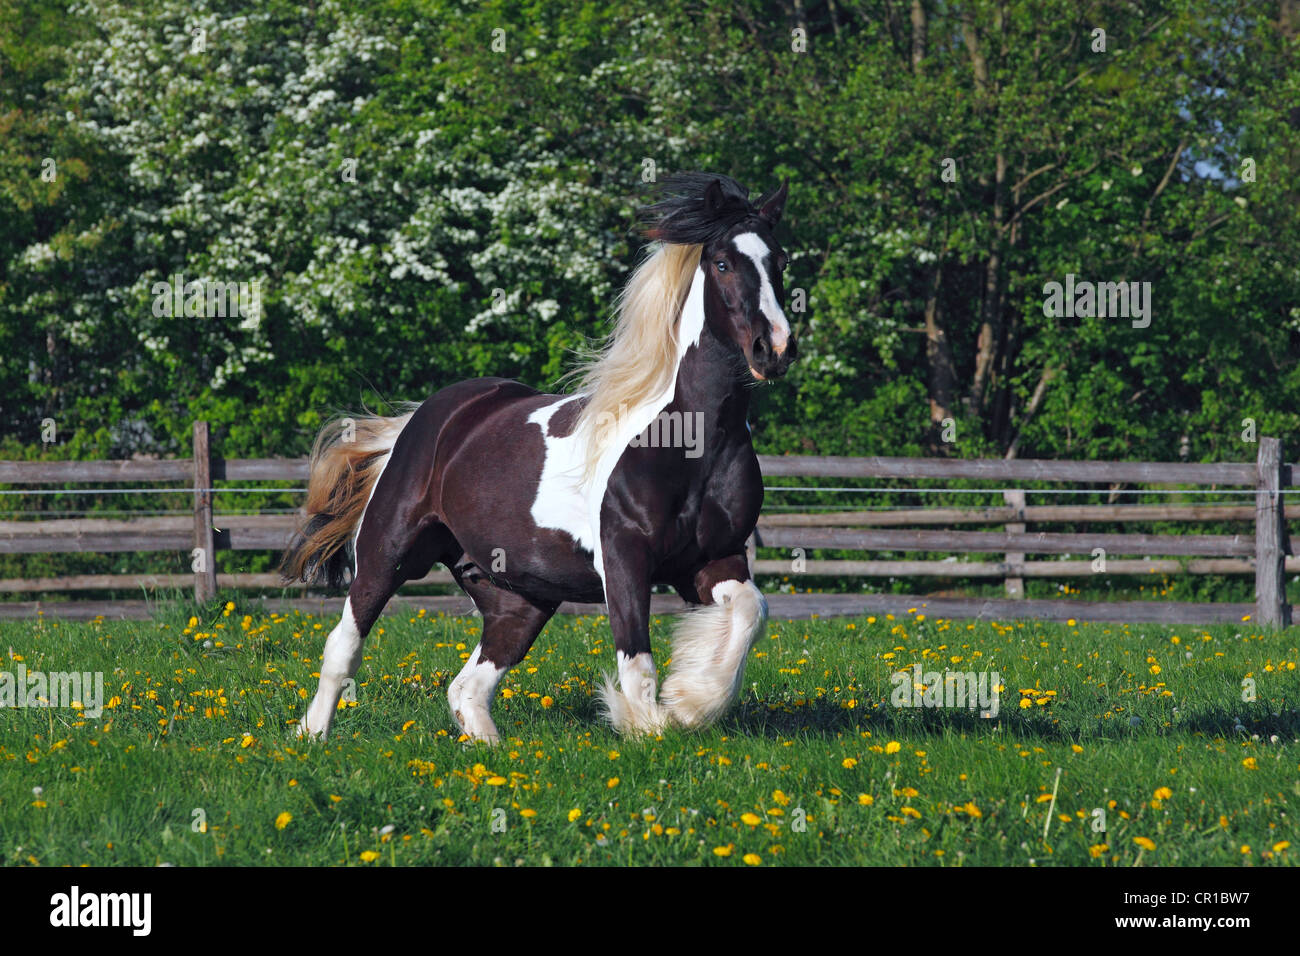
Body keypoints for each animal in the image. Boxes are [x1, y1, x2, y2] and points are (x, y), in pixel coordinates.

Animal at [280, 172, 796, 742]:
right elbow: (636, 662)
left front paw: (691, 702)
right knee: (343, 647)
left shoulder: (713, 559)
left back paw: (492, 751)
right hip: (387, 553)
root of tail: (422, 423)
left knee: (467, 687)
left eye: (780, 261)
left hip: (521, 596)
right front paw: (649, 725)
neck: (690, 441)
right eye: (723, 263)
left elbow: (751, 611)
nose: (774, 349)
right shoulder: (623, 559)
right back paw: (311, 738)